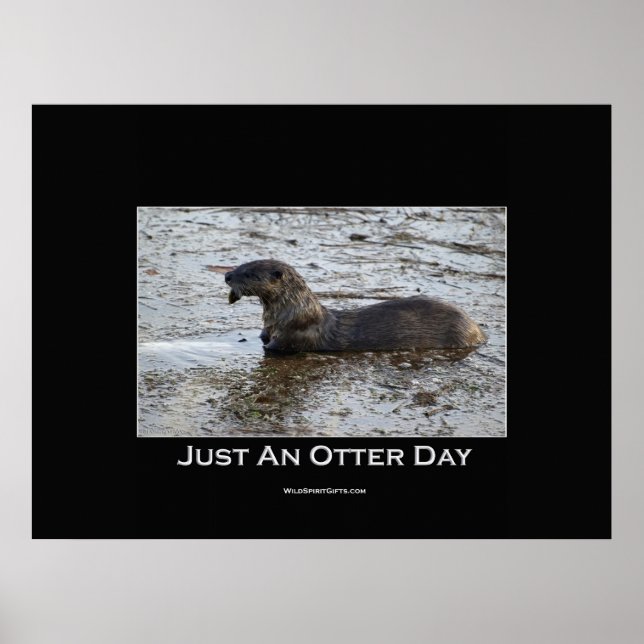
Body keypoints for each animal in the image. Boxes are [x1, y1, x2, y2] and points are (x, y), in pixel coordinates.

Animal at [224, 259, 486, 353]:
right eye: (240, 264)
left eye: (249, 273)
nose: (227, 275)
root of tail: (478, 330)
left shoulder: (294, 334)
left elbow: (274, 347)